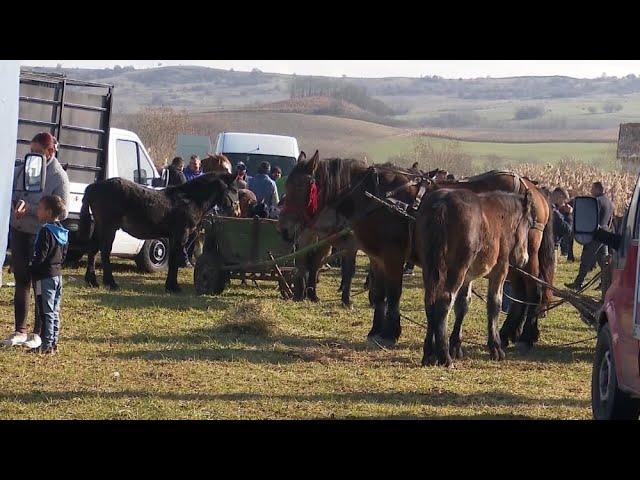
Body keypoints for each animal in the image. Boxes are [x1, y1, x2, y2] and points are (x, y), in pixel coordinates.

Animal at [79, 172, 239, 292]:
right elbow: (174, 260)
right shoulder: (181, 235)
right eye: (235, 190)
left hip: (100, 226)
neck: (190, 199)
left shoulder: (174, 237)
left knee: (93, 250)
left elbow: (173, 259)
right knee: (105, 252)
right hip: (109, 227)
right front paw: (173, 287)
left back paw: (92, 281)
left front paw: (170, 285)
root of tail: (94, 187)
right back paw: (111, 283)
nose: (236, 211)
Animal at [278, 152, 418, 344]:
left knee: (313, 262)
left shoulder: (364, 248)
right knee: (305, 262)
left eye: (299, 186)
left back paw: (308, 293)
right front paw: (350, 299)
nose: (283, 229)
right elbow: (356, 273)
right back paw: (302, 292)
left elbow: (358, 273)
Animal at [416, 188, 536, 368]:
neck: (502, 216)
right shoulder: (500, 270)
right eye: (528, 223)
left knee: (430, 302)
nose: (524, 259)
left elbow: (463, 305)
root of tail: (442, 204)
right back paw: (445, 357)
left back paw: (430, 354)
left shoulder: (468, 278)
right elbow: (494, 304)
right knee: (444, 300)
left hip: (430, 269)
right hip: (456, 269)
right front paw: (495, 348)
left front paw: (456, 346)